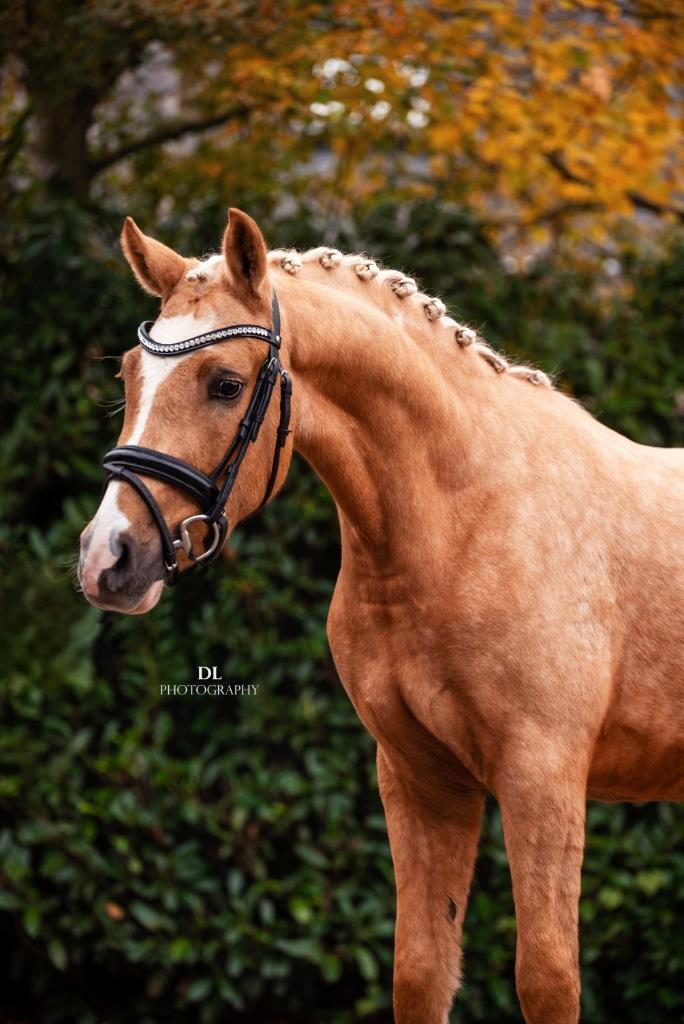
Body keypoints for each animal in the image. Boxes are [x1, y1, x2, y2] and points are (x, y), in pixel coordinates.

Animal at [78, 208, 684, 1024]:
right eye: (128, 375)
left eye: (226, 384)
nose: (107, 559)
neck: (464, 517)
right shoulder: (420, 779)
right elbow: (420, 973)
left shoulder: (543, 776)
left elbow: (547, 980)